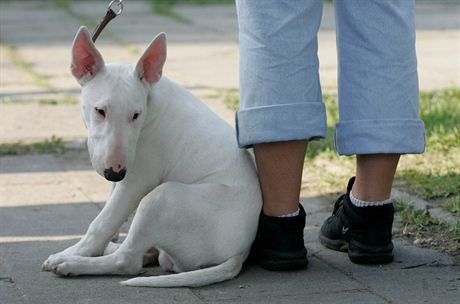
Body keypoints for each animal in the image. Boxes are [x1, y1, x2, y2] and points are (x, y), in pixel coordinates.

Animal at [42, 26, 262, 288]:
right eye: (100, 111)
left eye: (136, 114)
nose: (114, 172)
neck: (151, 102)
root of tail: (240, 252)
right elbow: (111, 210)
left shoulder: (137, 181)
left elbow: (102, 221)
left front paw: (75, 252)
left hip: (163, 197)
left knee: (127, 261)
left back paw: (73, 264)